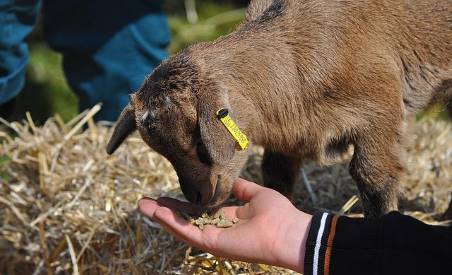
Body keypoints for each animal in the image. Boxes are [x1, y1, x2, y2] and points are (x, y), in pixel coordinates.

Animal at [107, 0, 450, 220]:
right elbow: (276, 174)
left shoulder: (380, 112)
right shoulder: (288, 133)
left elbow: (373, 177)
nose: (198, 198)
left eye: (200, 144)